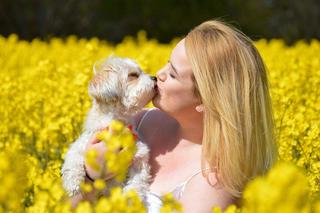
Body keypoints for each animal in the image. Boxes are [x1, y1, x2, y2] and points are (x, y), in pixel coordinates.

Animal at [60, 55, 157, 203]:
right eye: (133, 75)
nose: (155, 78)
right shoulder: (80, 146)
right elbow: (73, 162)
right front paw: (73, 183)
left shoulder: (139, 159)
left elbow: (137, 182)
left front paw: (130, 200)